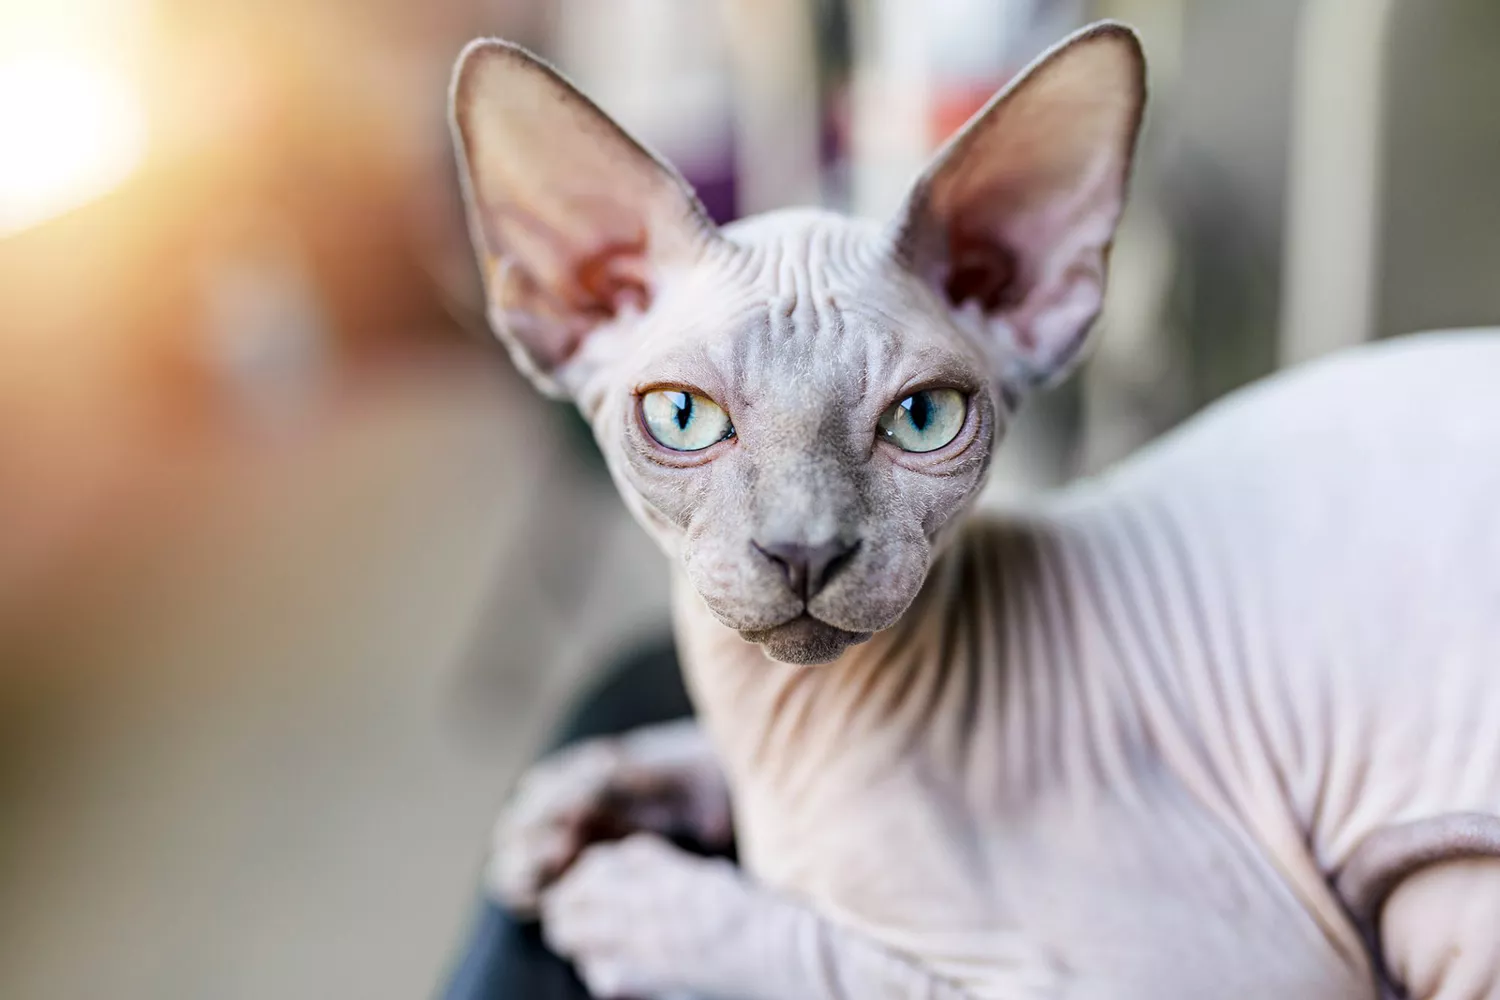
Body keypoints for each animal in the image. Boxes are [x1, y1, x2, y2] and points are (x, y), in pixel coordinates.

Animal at [444, 21, 1500, 1000]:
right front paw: (585, 792)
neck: (782, 728)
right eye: (683, 415)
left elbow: (824, 954)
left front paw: (632, 900)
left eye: (923, 418)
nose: (803, 550)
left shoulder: (1231, 972)